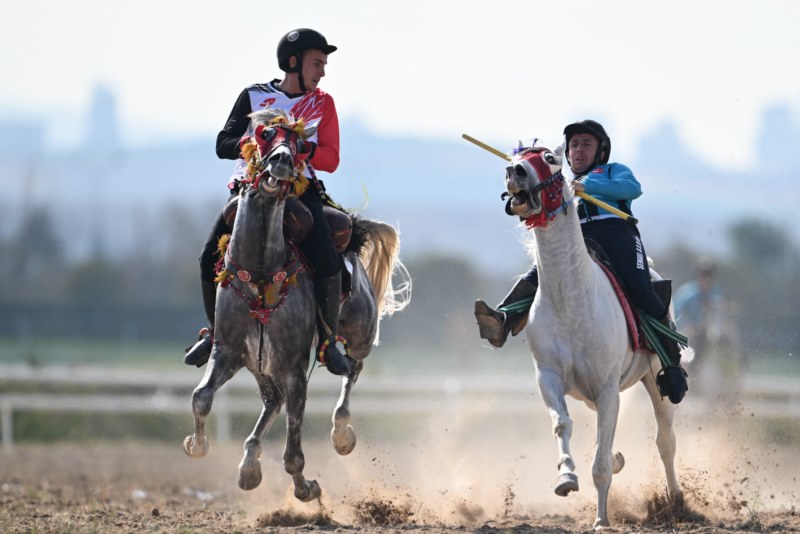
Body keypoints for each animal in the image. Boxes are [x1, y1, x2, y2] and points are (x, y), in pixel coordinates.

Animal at [184, 109, 410, 502]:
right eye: (263, 133)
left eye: (301, 144)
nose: (282, 161)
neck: (261, 272)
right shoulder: (227, 352)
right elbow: (201, 396)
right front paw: (197, 445)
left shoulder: (293, 367)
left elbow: (293, 450)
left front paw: (306, 487)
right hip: (260, 364)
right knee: (271, 401)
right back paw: (249, 465)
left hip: (359, 333)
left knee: (352, 369)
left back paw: (342, 433)